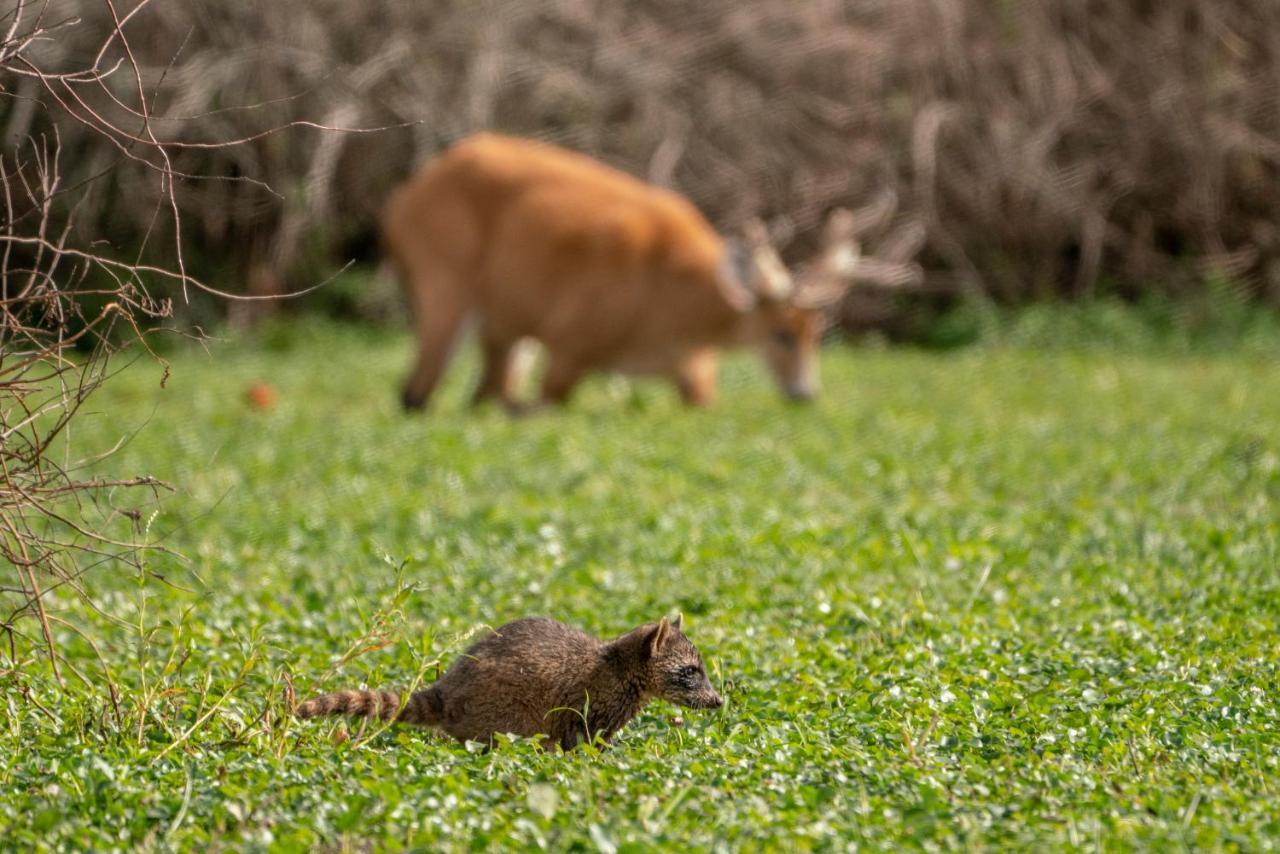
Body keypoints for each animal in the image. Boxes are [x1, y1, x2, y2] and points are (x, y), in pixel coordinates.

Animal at [381, 133, 921, 414]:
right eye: (782, 334)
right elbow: (550, 398)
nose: (804, 393)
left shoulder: (696, 372)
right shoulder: (569, 344)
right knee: (415, 393)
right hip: (445, 287)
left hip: (505, 329)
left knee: (484, 391)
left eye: (817, 334)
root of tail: (409, 193)